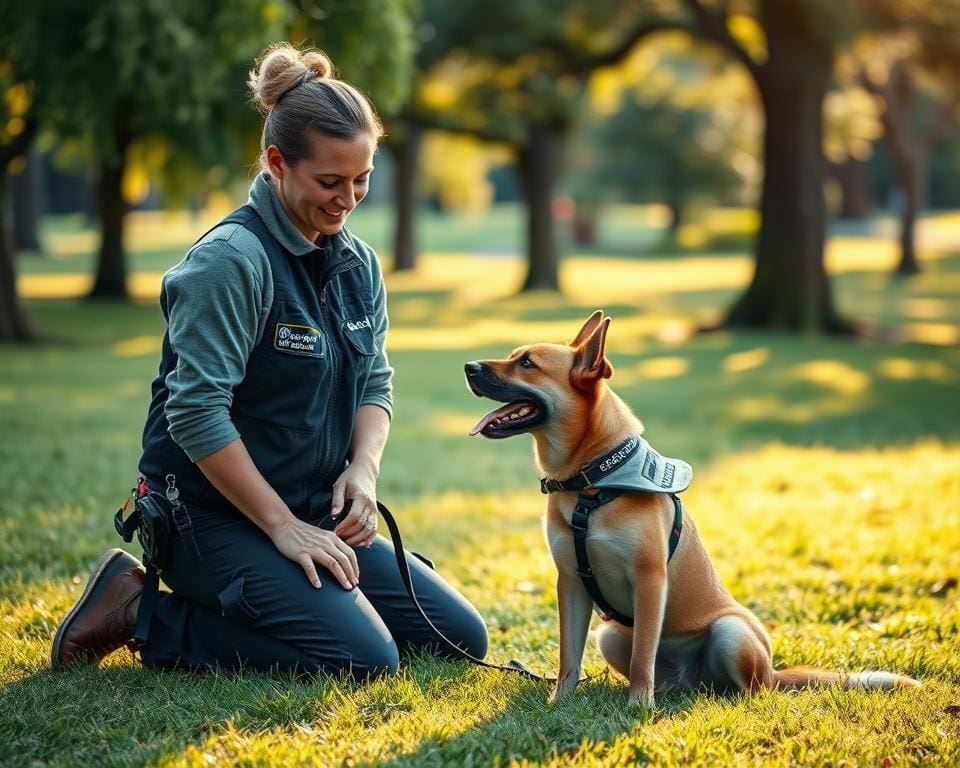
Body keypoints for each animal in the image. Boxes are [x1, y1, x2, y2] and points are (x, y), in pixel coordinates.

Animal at [464, 308, 924, 704]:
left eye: (527, 363)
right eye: (515, 356)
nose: (469, 367)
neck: (591, 484)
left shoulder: (650, 579)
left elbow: (643, 655)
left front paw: (638, 706)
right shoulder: (571, 583)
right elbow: (568, 659)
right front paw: (560, 702)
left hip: (731, 632)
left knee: (751, 690)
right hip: (610, 634)